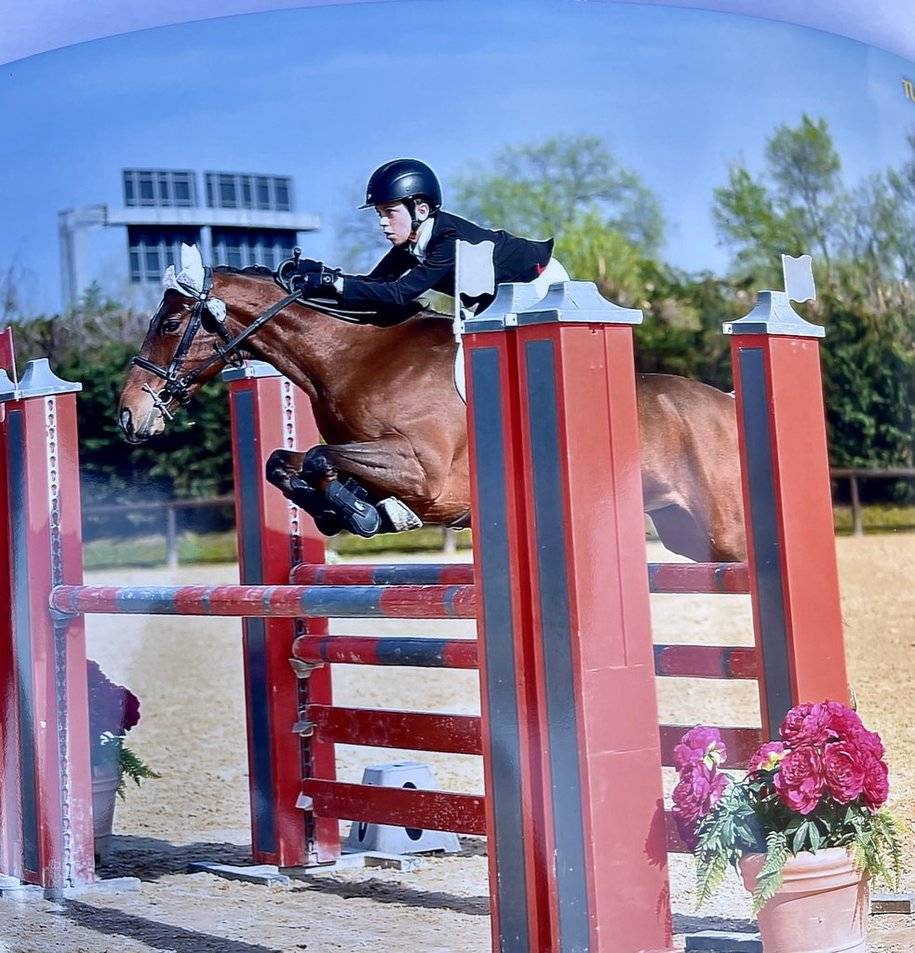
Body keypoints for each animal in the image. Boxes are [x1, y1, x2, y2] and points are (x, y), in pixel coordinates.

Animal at [118, 263, 746, 562]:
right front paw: (344, 511)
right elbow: (284, 461)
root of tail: (727, 403)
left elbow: (320, 458)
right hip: (685, 533)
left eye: (169, 323)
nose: (129, 415)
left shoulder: (425, 472)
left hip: (727, 531)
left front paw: (366, 512)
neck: (352, 358)